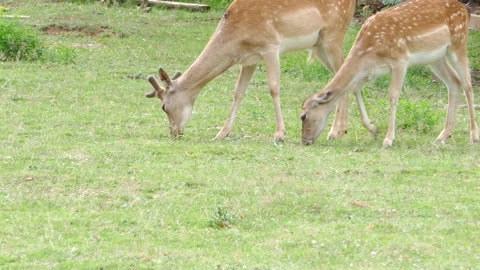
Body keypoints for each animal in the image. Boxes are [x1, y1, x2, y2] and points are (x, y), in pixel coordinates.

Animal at [145, 0, 356, 143]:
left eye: (164, 107)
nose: (174, 133)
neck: (237, 38)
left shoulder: (271, 46)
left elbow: (273, 89)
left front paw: (280, 134)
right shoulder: (249, 60)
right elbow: (238, 92)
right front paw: (221, 133)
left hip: (334, 34)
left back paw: (335, 131)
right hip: (319, 45)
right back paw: (342, 130)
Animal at [302, 0, 478, 147]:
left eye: (304, 116)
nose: (305, 140)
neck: (368, 51)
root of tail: (465, 9)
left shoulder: (400, 61)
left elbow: (393, 97)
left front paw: (388, 139)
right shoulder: (371, 70)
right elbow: (355, 88)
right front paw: (373, 129)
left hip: (458, 43)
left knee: (468, 84)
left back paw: (474, 136)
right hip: (436, 58)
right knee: (454, 82)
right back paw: (444, 135)